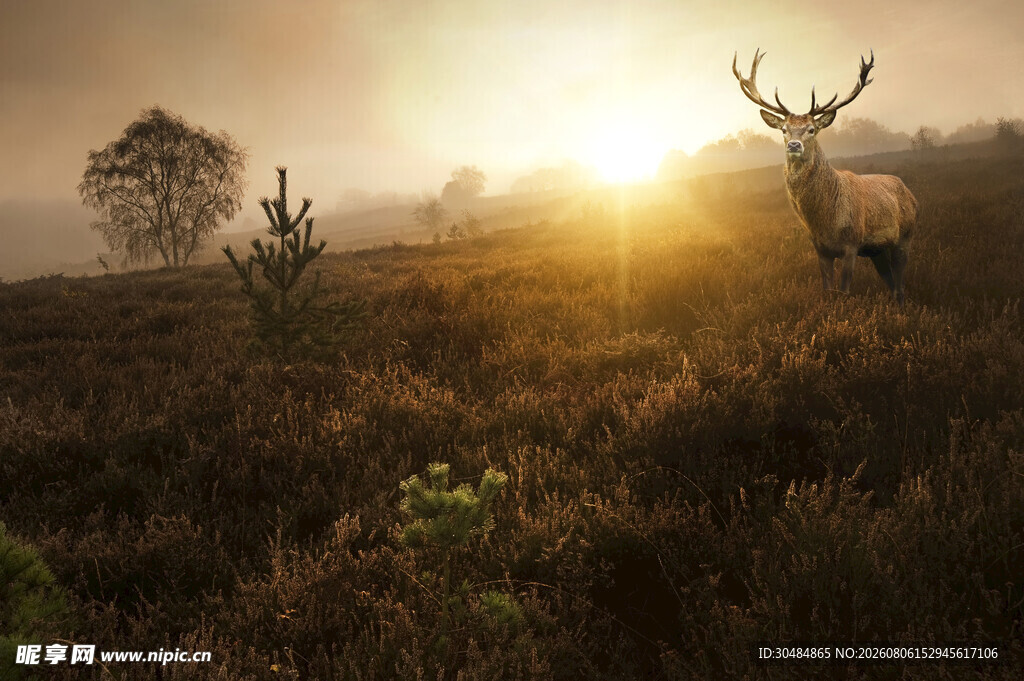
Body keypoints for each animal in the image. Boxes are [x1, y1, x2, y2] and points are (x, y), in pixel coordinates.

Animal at [732, 49, 918, 305]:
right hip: (877, 250)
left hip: (905, 236)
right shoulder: (820, 249)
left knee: (900, 285)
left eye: (812, 129)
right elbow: (827, 290)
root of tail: (911, 194)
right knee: (891, 284)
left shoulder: (852, 243)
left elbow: (844, 291)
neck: (825, 221)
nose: (793, 144)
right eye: (784, 130)